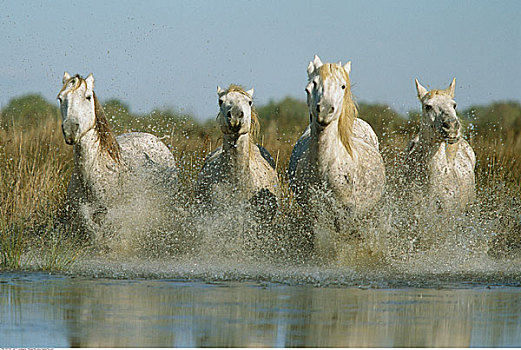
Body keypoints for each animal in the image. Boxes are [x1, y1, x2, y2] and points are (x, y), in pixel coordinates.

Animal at [57, 73, 179, 243]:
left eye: (88, 97)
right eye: (61, 98)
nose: (70, 130)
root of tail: (157, 140)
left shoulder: (113, 215)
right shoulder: (86, 216)